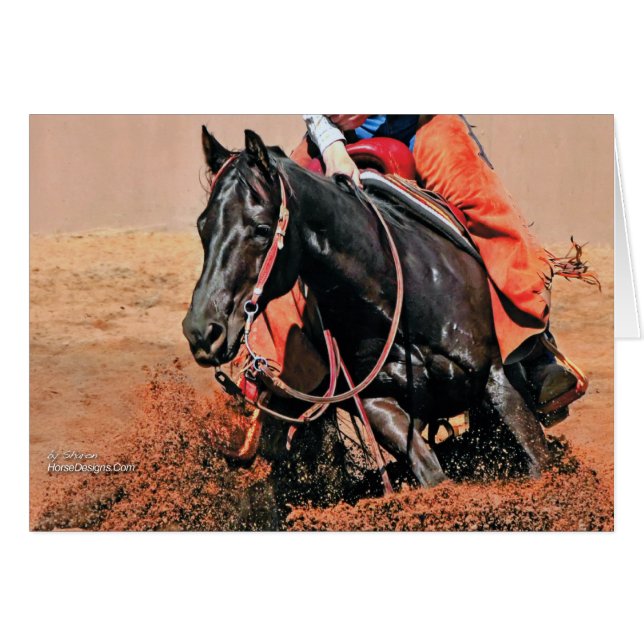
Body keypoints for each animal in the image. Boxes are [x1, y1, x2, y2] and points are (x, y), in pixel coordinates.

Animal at [182, 127, 552, 487]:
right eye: (202, 226)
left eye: (261, 228)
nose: (201, 330)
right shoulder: (378, 403)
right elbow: (430, 473)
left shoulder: (496, 378)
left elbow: (538, 460)